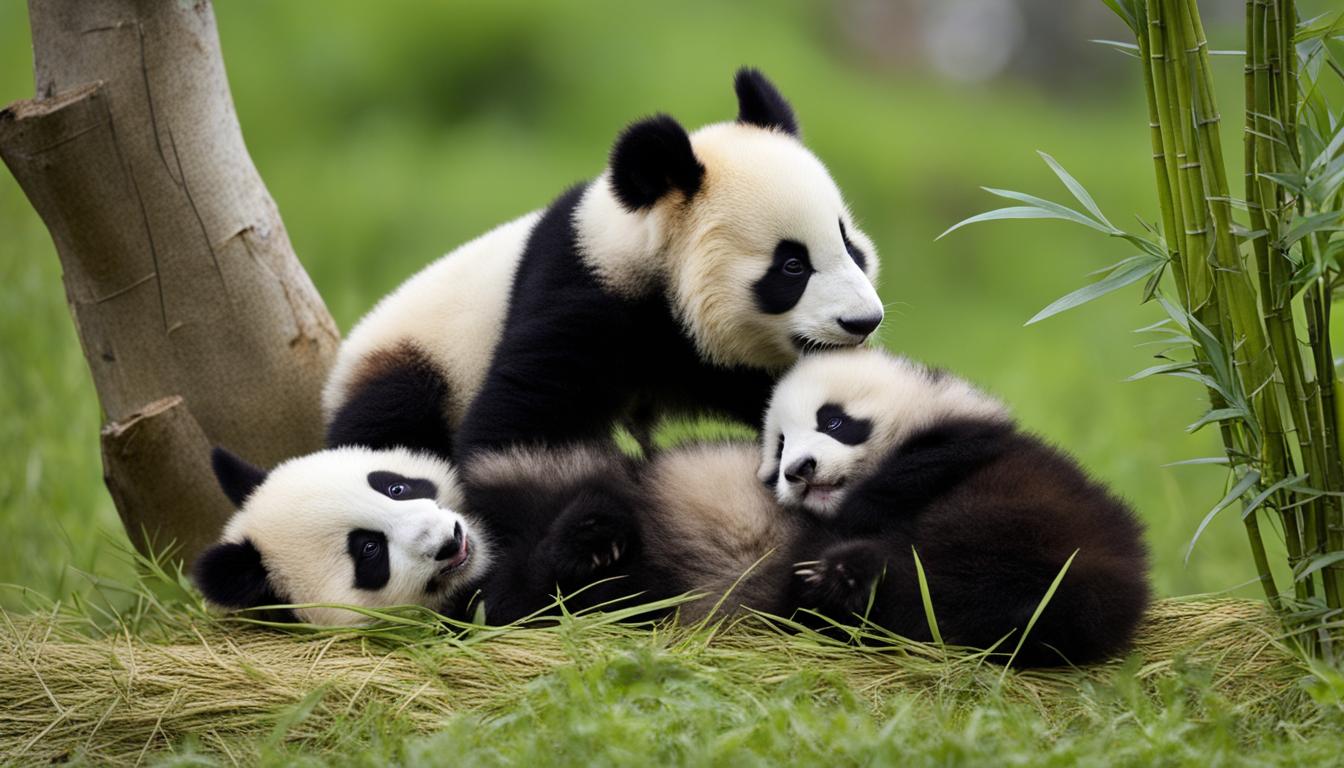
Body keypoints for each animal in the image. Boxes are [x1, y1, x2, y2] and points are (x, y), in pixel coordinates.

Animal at [322, 68, 883, 460]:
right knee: (390, 427)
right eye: (791, 266)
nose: (864, 321)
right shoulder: (582, 294)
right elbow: (514, 425)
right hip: (418, 361)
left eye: (848, 244)